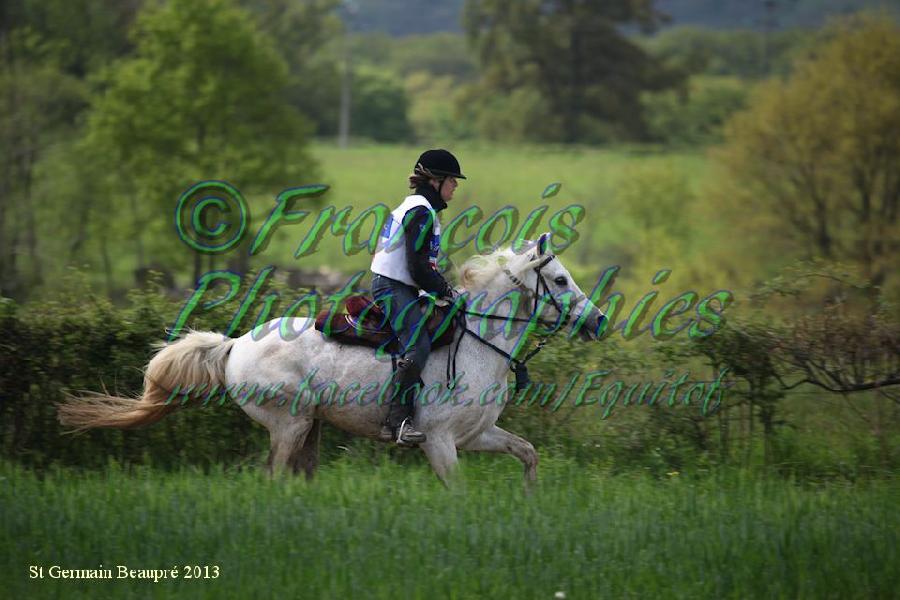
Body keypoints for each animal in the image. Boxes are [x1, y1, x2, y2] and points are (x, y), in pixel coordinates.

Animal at [61, 237, 604, 486]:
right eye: (559, 280)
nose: (598, 321)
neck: (475, 343)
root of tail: (235, 344)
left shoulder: (478, 435)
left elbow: (528, 453)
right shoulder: (441, 443)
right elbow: (458, 491)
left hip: (310, 428)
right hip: (290, 424)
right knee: (273, 477)